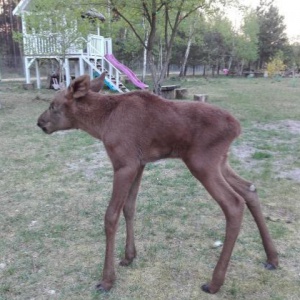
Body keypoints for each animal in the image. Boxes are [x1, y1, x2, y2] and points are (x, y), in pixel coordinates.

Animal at [37, 74, 278, 292]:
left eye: (53, 105)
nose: (39, 123)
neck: (101, 124)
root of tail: (237, 127)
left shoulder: (124, 164)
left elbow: (111, 216)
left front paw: (107, 280)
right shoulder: (139, 163)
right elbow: (129, 208)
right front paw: (129, 256)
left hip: (202, 163)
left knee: (234, 204)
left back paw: (215, 282)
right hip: (221, 162)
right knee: (249, 189)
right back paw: (272, 258)